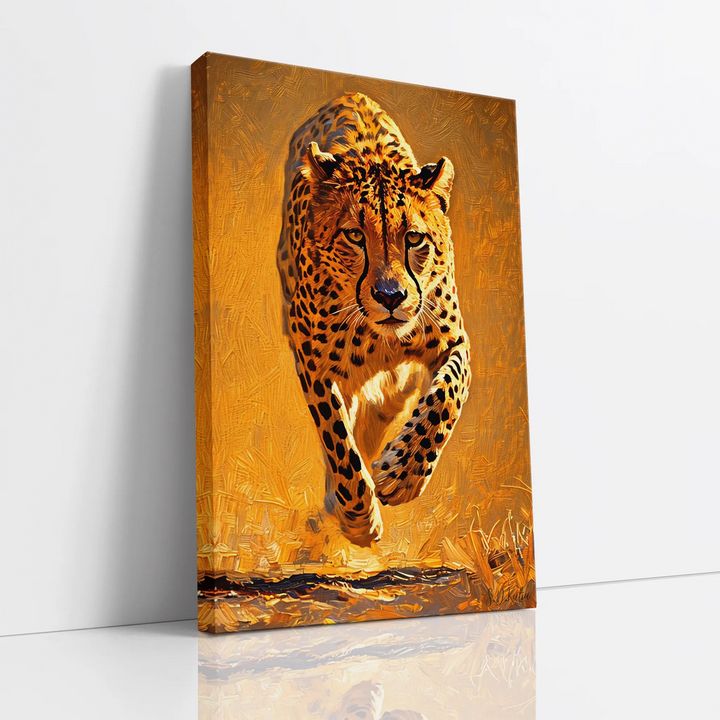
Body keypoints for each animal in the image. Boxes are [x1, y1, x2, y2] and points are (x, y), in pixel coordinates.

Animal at [277, 92, 471, 547]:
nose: (390, 297)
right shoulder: (313, 363)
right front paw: (359, 518)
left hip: (396, 390)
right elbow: (338, 441)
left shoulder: (454, 341)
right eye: (354, 236)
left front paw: (401, 475)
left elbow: (447, 397)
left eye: (414, 238)